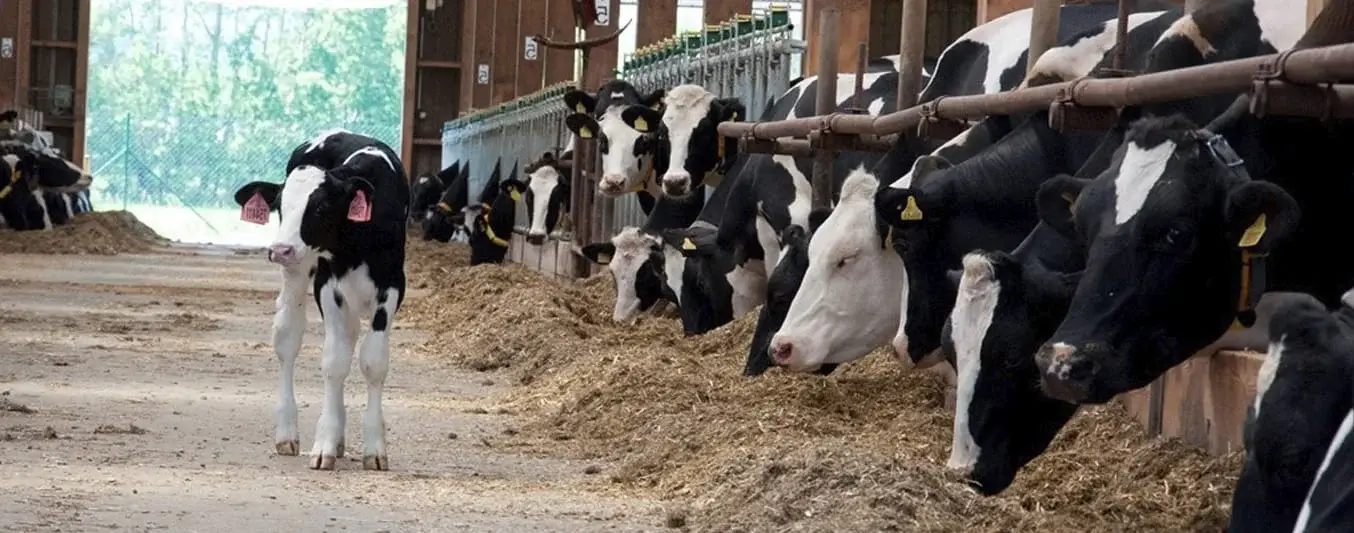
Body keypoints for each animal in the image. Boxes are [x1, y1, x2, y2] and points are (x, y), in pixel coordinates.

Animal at [231, 127, 406, 470]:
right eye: (281, 207)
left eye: (321, 208)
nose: (280, 249)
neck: (355, 244)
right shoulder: (327, 285)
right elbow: (334, 362)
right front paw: (324, 444)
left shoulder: (393, 285)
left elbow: (373, 360)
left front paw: (374, 448)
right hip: (298, 273)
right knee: (289, 339)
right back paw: (288, 433)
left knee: (349, 338)